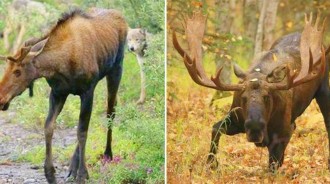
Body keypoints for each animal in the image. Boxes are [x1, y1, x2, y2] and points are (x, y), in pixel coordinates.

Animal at [0, 8, 127, 183]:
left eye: (18, 71)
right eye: (7, 68)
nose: (1, 98)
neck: (60, 65)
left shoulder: (87, 91)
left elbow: (81, 132)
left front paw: (82, 174)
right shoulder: (58, 93)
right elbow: (49, 127)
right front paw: (50, 173)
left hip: (116, 69)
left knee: (110, 111)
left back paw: (107, 154)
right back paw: (73, 167)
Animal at [173, 11, 330, 172]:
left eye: (267, 97)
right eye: (244, 98)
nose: (255, 128)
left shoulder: (284, 131)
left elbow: (273, 166)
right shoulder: (236, 119)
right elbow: (216, 129)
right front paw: (212, 164)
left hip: (324, 89)